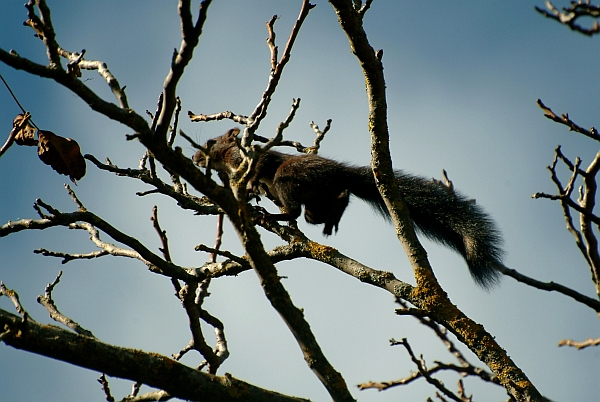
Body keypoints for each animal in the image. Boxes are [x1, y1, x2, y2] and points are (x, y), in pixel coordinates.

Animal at [195, 127, 504, 288]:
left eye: (211, 142)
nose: (197, 157)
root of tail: (341, 172)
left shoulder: (252, 158)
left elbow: (260, 165)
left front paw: (251, 187)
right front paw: (249, 194)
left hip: (290, 175)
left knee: (296, 209)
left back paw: (274, 213)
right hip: (316, 200)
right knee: (321, 208)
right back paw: (331, 217)